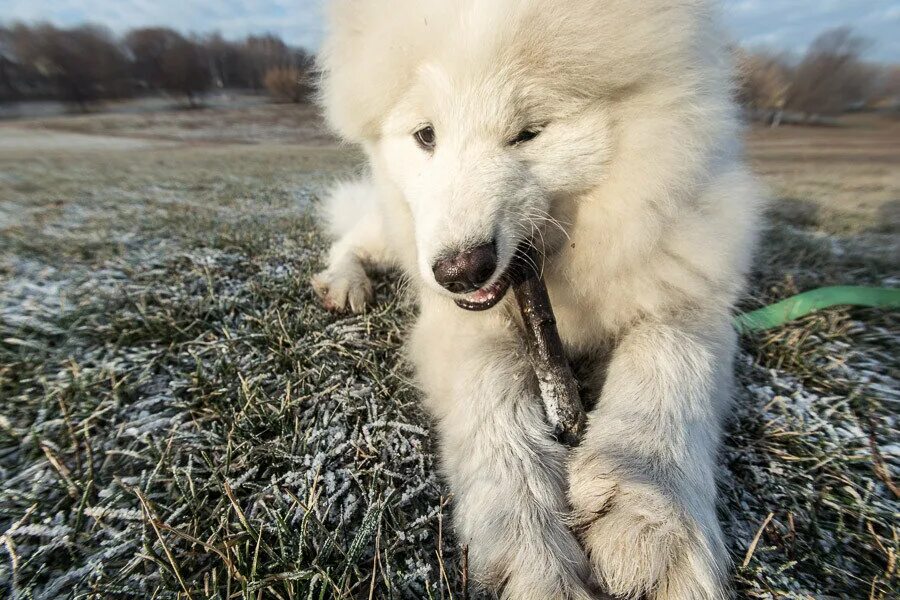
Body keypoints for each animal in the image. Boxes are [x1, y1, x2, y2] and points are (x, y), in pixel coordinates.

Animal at [312, 2, 764, 596]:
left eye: (529, 133)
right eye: (426, 135)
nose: (460, 271)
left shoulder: (693, 293)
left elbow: (669, 355)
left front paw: (650, 516)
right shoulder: (458, 325)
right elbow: (493, 395)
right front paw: (533, 550)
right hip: (399, 232)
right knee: (351, 238)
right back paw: (344, 283)